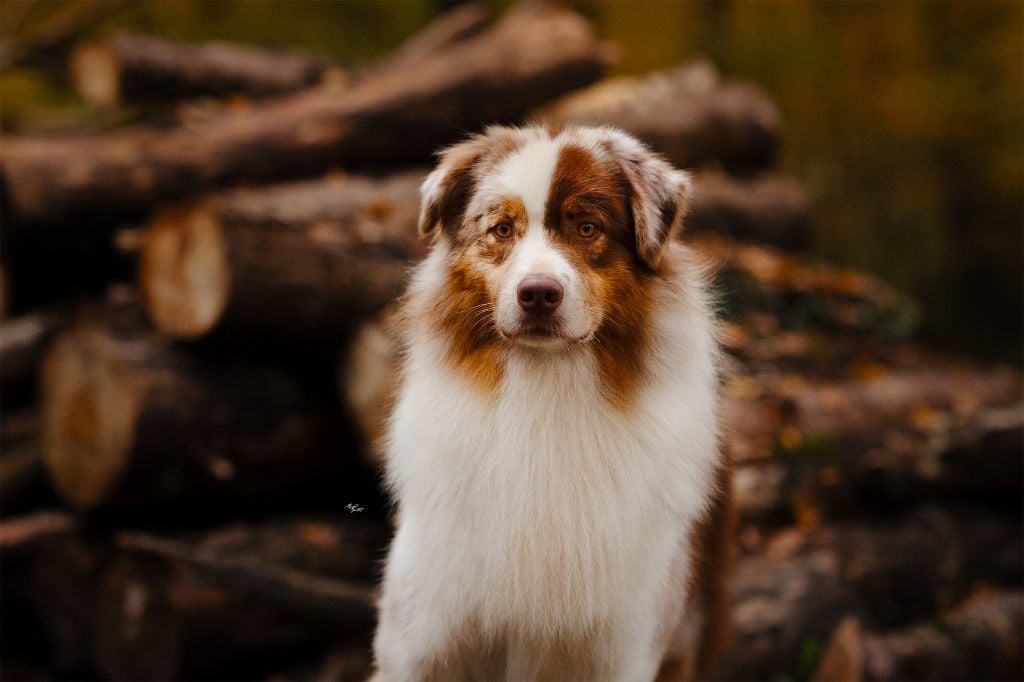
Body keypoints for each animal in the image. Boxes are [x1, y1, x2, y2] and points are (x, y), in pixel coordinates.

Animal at [372, 124, 733, 675]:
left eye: (586, 228)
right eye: (502, 229)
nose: (538, 294)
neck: (546, 388)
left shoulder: (623, 645)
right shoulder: (418, 641)